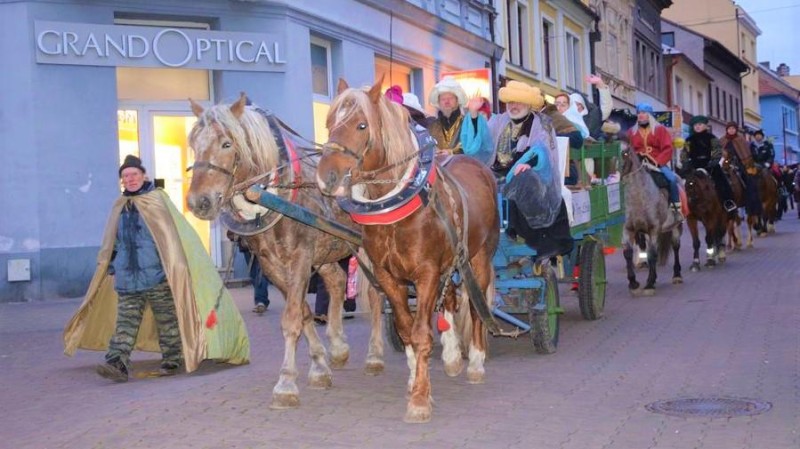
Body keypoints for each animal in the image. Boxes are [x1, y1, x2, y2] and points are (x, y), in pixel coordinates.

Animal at [184, 94, 384, 410]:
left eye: (227, 143)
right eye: (194, 143)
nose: (198, 202)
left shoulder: (300, 257)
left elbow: (291, 319)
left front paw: (286, 384)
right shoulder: (272, 266)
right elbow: (302, 313)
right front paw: (319, 367)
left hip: (366, 246)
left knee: (376, 295)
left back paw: (375, 356)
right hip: (326, 249)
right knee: (337, 282)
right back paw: (338, 346)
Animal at [314, 79, 496, 422]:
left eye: (361, 125)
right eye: (330, 123)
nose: (326, 177)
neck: (395, 208)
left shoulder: (425, 273)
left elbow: (422, 333)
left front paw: (420, 400)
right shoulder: (389, 276)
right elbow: (406, 329)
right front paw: (415, 380)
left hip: (479, 258)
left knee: (476, 306)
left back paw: (477, 363)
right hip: (449, 261)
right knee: (450, 300)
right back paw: (453, 357)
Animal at [620, 144, 680, 294]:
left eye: (625, 154)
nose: (621, 176)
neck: (639, 198)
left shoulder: (654, 229)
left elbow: (653, 254)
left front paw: (650, 283)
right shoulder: (629, 229)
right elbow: (628, 253)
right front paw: (633, 282)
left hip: (676, 226)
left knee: (675, 247)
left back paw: (677, 275)